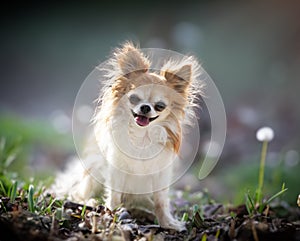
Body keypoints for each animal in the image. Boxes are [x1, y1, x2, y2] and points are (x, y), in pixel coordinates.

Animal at [54, 42, 204, 231]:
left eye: (160, 106)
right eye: (133, 98)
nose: (145, 107)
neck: (141, 136)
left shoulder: (160, 175)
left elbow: (161, 202)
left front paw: (167, 223)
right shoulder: (116, 170)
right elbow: (114, 195)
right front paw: (112, 214)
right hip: (94, 169)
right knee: (81, 194)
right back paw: (92, 202)